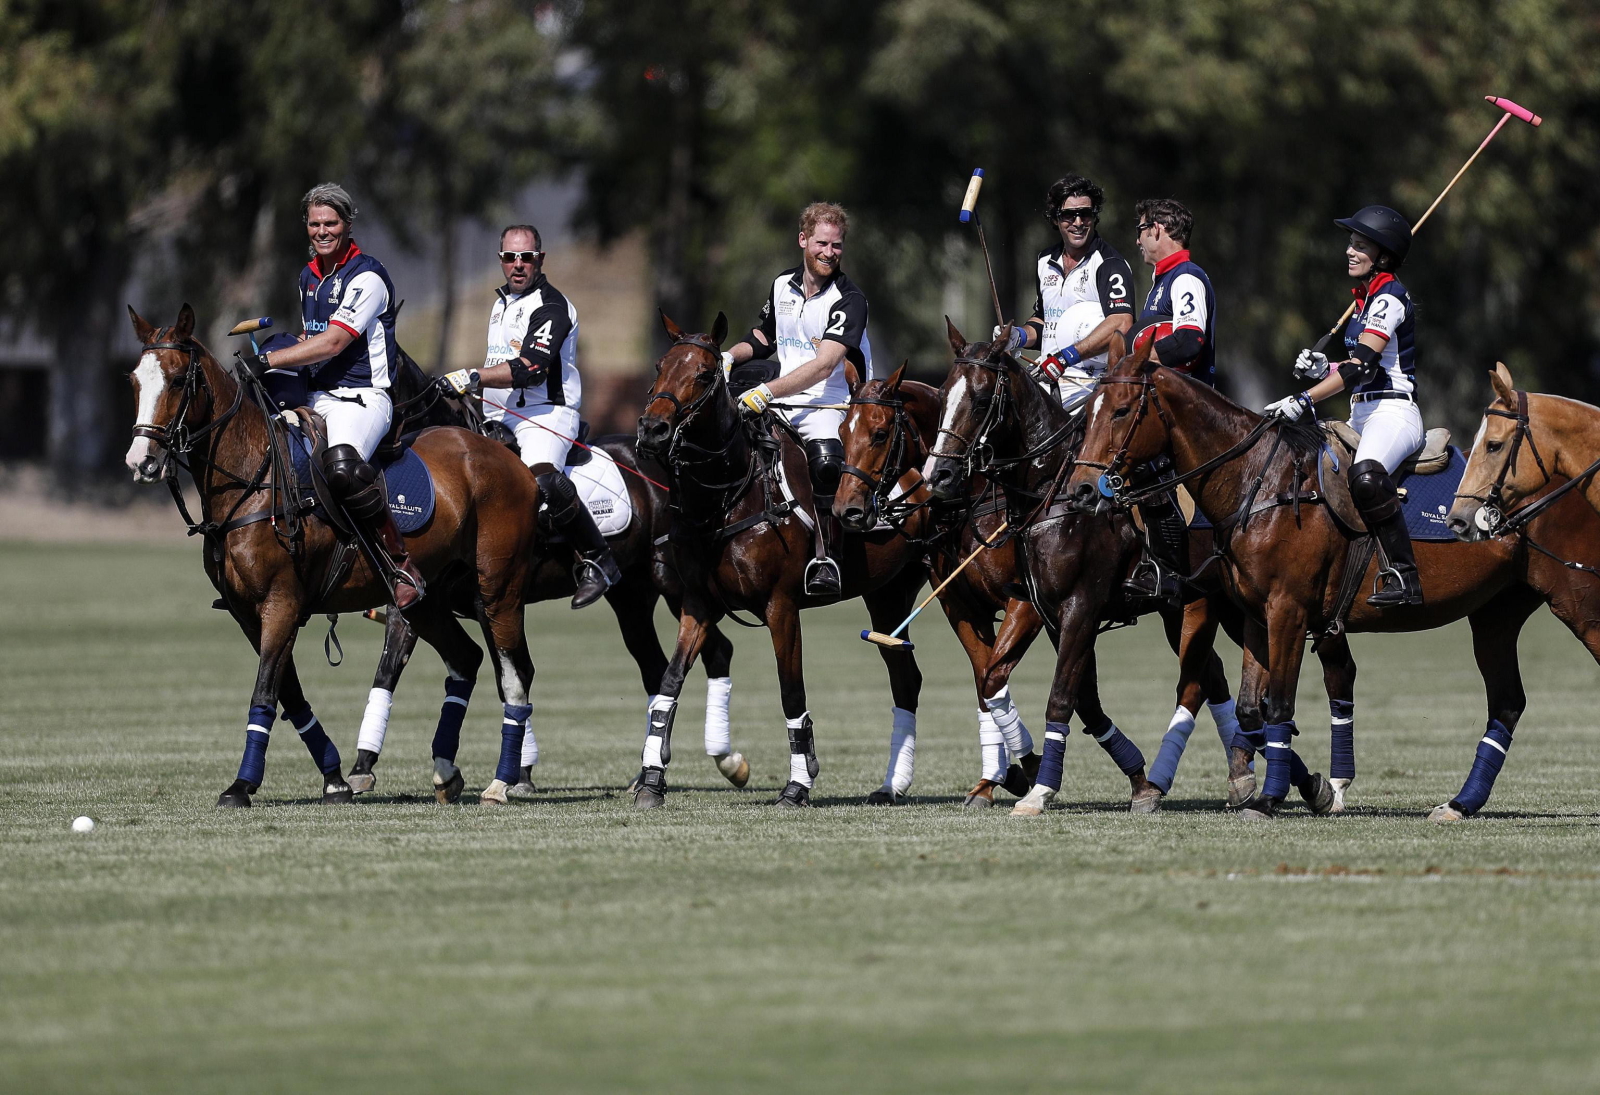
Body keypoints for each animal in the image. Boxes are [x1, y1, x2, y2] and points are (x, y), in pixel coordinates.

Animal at [123, 304, 544, 806]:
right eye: (134, 380)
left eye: (177, 379)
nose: (141, 461)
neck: (253, 477)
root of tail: (508, 456)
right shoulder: (247, 613)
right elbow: (290, 694)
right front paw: (335, 777)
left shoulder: (281, 602)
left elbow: (264, 693)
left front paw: (241, 786)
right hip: (427, 600)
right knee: (466, 658)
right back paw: (446, 771)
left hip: (498, 587)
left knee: (515, 674)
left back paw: (502, 781)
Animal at [630, 312, 934, 806]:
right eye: (659, 366)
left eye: (704, 374)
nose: (652, 429)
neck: (730, 494)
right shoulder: (698, 604)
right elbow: (669, 683)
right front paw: (652, 780)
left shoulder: (782, 606)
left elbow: (791, 692)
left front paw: (798, 784)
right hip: (888, 595)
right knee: (905, 678)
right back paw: (893, 785)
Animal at [915, 323, 1299, 813]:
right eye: (944, 394)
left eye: (982, 400)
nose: (938, 477)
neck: (1052, 489)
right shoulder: (1043, 608)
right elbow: (1022, 684)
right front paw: (1126, 778)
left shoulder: (1080, 606)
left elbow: (1061, 697)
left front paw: (1039, 789)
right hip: (1190, 608)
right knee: (1213, 680)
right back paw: (1241, 773)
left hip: (1220, 605)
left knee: (1202, 684)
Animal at [1068, 345, 1600, 816]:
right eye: (1086, 415)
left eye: (1120, 410)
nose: (1080, 490)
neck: (1257, 483)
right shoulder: (1257, 616)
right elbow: (1251, 708)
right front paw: (1299, 790)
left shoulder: (1287, 610)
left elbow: (1280, 705)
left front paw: (1270, 800)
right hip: (1496, 613)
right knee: (1506, 702)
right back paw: (1458, 805)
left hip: (1578, 601)